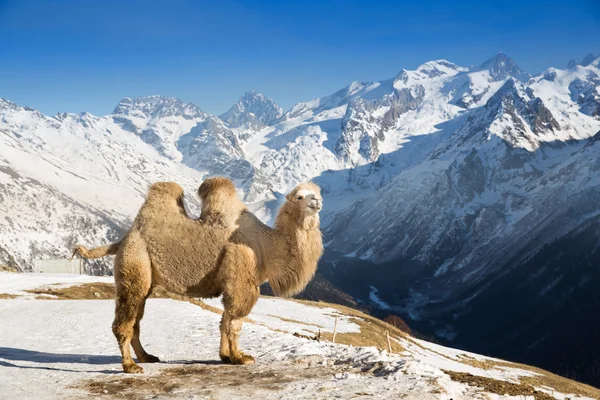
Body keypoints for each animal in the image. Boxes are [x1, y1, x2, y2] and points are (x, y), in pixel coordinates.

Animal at [73, 177, 326, 372]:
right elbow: (234, 322)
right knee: (124, 319)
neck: (265, 246)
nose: (317, 201)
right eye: (299, 197)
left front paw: (225, 356)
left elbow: (224, 319)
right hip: (135, 262)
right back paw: (130, 366)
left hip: (144, 277)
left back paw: (146, 357)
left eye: (316, 192)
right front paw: (240, 357)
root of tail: (125, 238)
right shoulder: (241, 277)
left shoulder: (230, 283)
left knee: (136, 319)